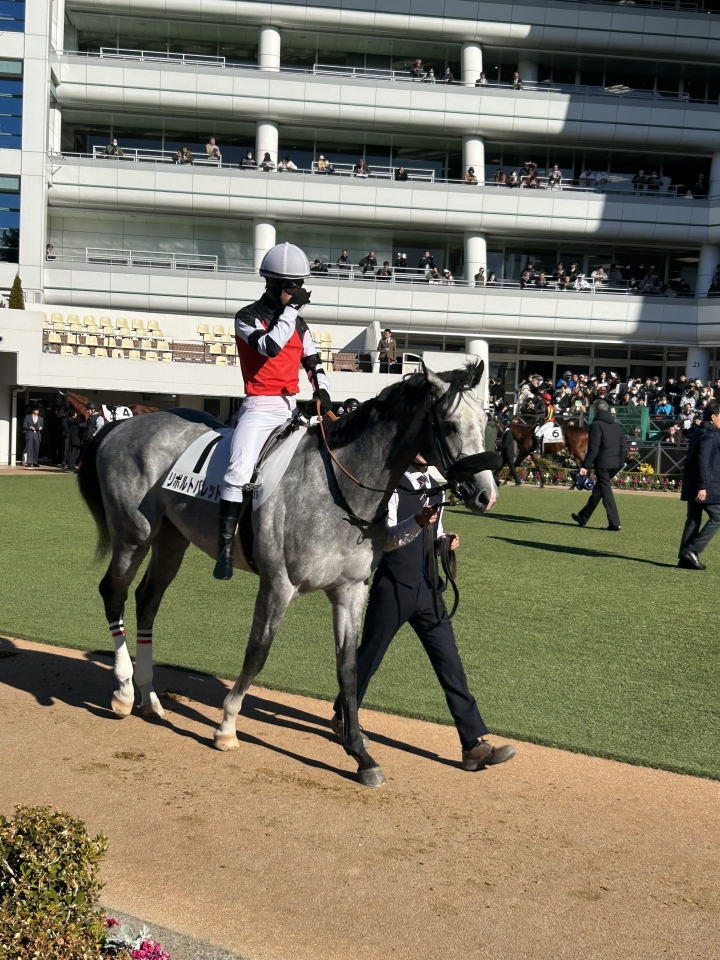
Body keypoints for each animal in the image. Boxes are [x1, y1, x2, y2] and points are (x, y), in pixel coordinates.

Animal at [77, 361, 499, 787]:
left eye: (484, 421)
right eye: (449, 425)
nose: (487, 493)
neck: (338, 490)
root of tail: (125, 423)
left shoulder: (350, 590)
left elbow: (348, 668)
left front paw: (359, 753)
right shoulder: (278, 585)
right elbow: (258, 652)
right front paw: (227, 725)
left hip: (171, 538)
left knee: (147, 600)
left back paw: (149, 698)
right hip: (134, 534)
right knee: (113, 592)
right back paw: (124, 692)